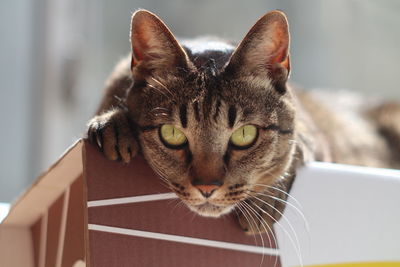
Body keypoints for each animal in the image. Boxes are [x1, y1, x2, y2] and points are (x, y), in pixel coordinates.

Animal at [86, 8, 400, 234]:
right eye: (172, 135)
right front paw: (112, 123)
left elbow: (294, 148)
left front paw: (265, 200)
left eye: (245, 135)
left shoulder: (316, 138)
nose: (207, 188)